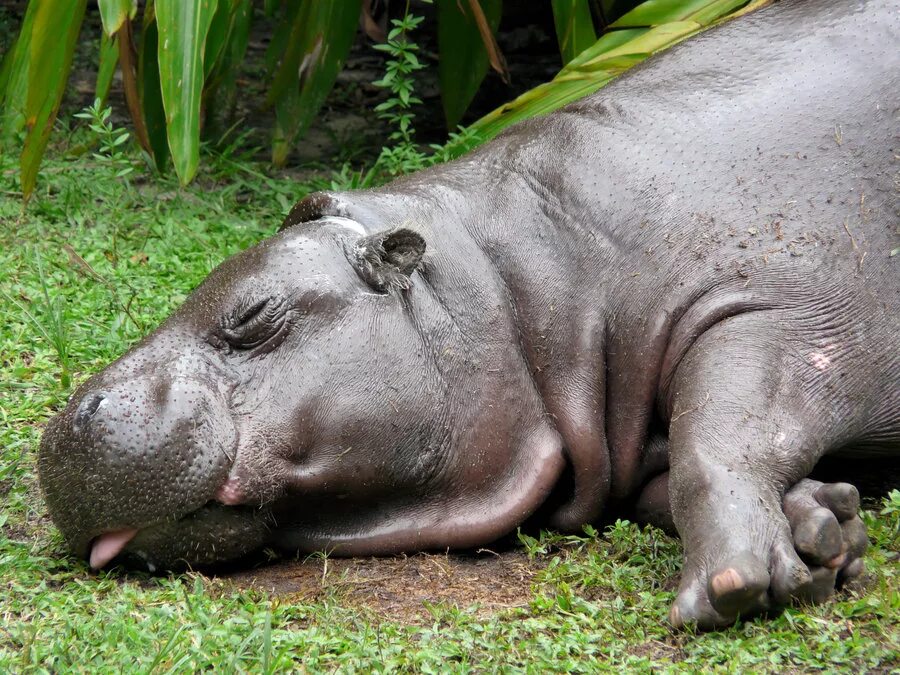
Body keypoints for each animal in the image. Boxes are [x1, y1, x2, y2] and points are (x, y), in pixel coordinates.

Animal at [40, 0, 900, 632]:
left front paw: (729, 585)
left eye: (253, 313)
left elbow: (719, 436)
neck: (508, 276)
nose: (70, 418)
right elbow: (677, 469)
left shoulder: (786, 307)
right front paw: (827, 530)